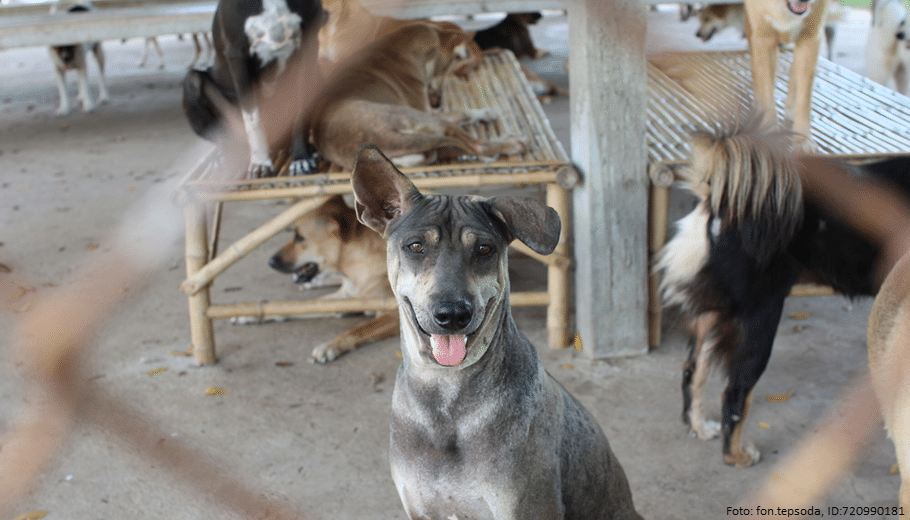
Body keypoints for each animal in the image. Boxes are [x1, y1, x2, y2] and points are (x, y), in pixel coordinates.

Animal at [183, 0, 326, 177]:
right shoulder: (238, 57)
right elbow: (252, 118)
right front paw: (261, 162)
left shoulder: (309, 47)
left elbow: (300, 111)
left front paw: (301, 159)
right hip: (191, 82)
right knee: (222, 136)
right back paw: (223, 158)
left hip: (318, 74)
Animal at [310, 22, 528, 169]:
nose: (438, 101)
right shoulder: (429, 112)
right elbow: (462, 112)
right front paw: (486, 112)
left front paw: (486, 113)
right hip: (424, 120)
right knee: (475, 145)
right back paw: (511, 144)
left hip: (424, 146)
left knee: (453, 147)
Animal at [352, 144, 644, 520]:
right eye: (416, 246)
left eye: (484, 249)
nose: (452, 314)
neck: (445, 397)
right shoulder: (420, 509)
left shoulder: (526, 508)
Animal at [660, 117, 910, 468]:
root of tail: (721, 201)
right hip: (760, 315)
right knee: (734, 394)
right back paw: (736, 455)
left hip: (716, 312)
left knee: (693, 373)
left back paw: (699, 426)